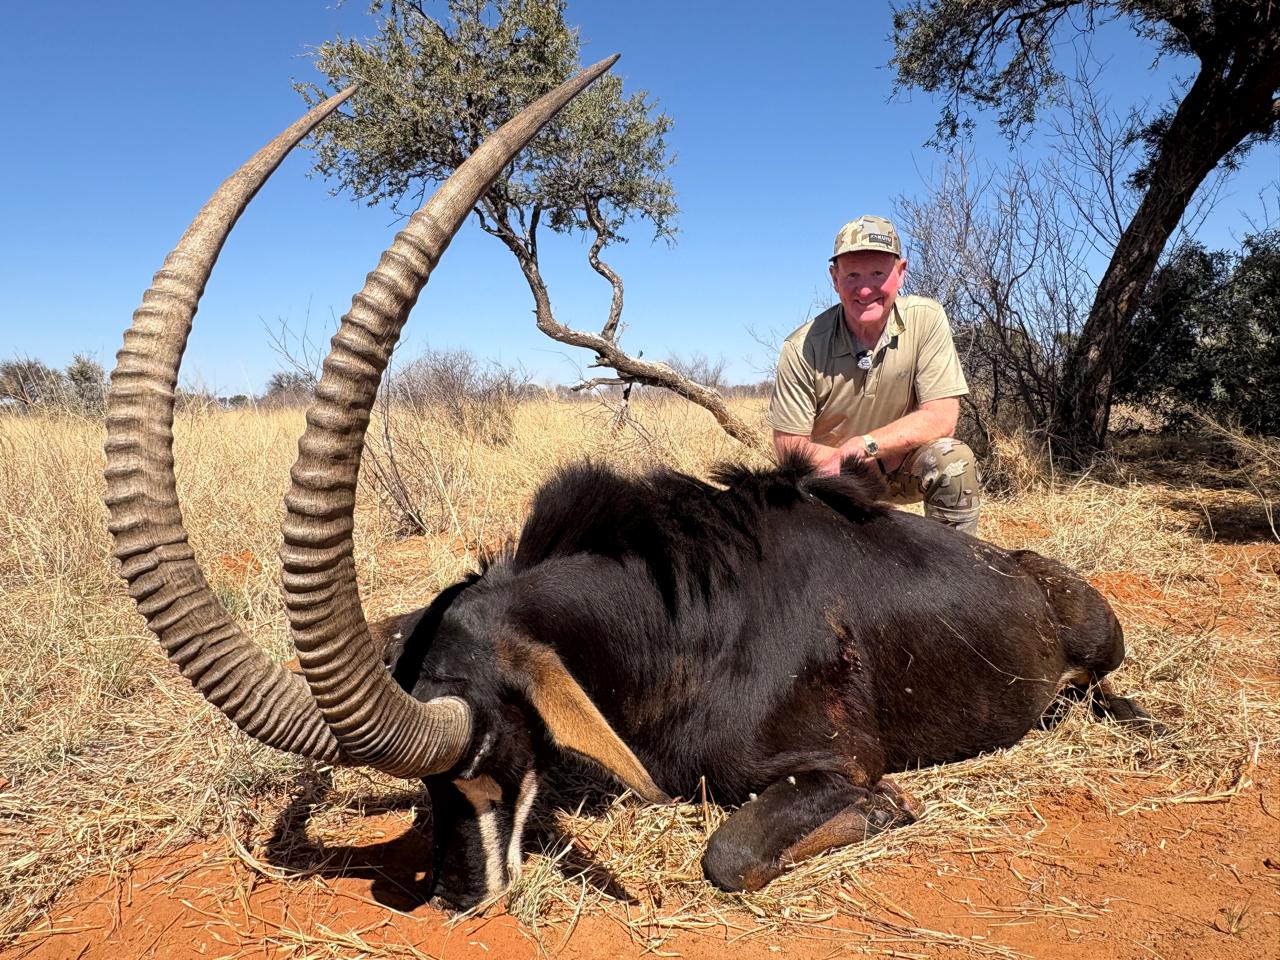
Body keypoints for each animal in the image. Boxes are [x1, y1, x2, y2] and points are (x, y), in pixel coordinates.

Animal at [104, 58, 1158, 913]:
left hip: (1096, 643)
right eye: (427, 790)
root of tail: (1021, 566)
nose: (462, 897)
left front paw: (886, 814)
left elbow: (730, 855)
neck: (681, 616)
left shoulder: (834, 766)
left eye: (491, 755)